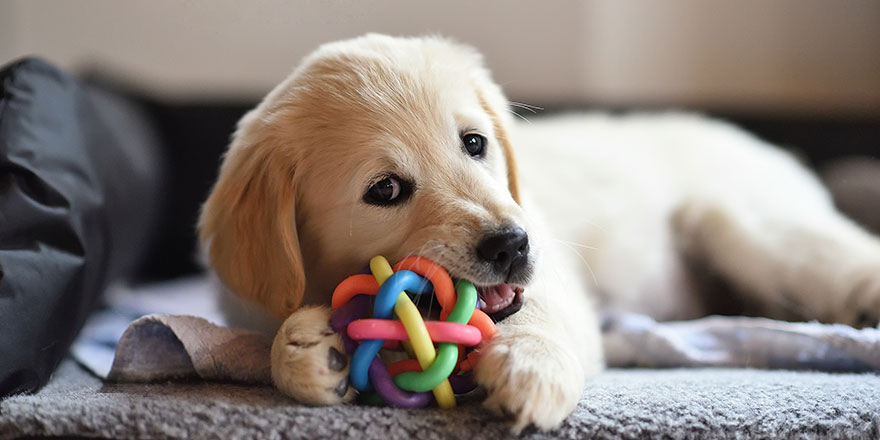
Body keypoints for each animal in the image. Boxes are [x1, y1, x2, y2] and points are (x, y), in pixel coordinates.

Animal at [199, 33, 880, 430]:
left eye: (475, 143)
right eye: (384, 190)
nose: (511, 245)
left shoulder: (553, 275)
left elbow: (538, 315)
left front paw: (530, 368)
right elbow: (272, 338)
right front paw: (308, 349)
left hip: (747, 228)